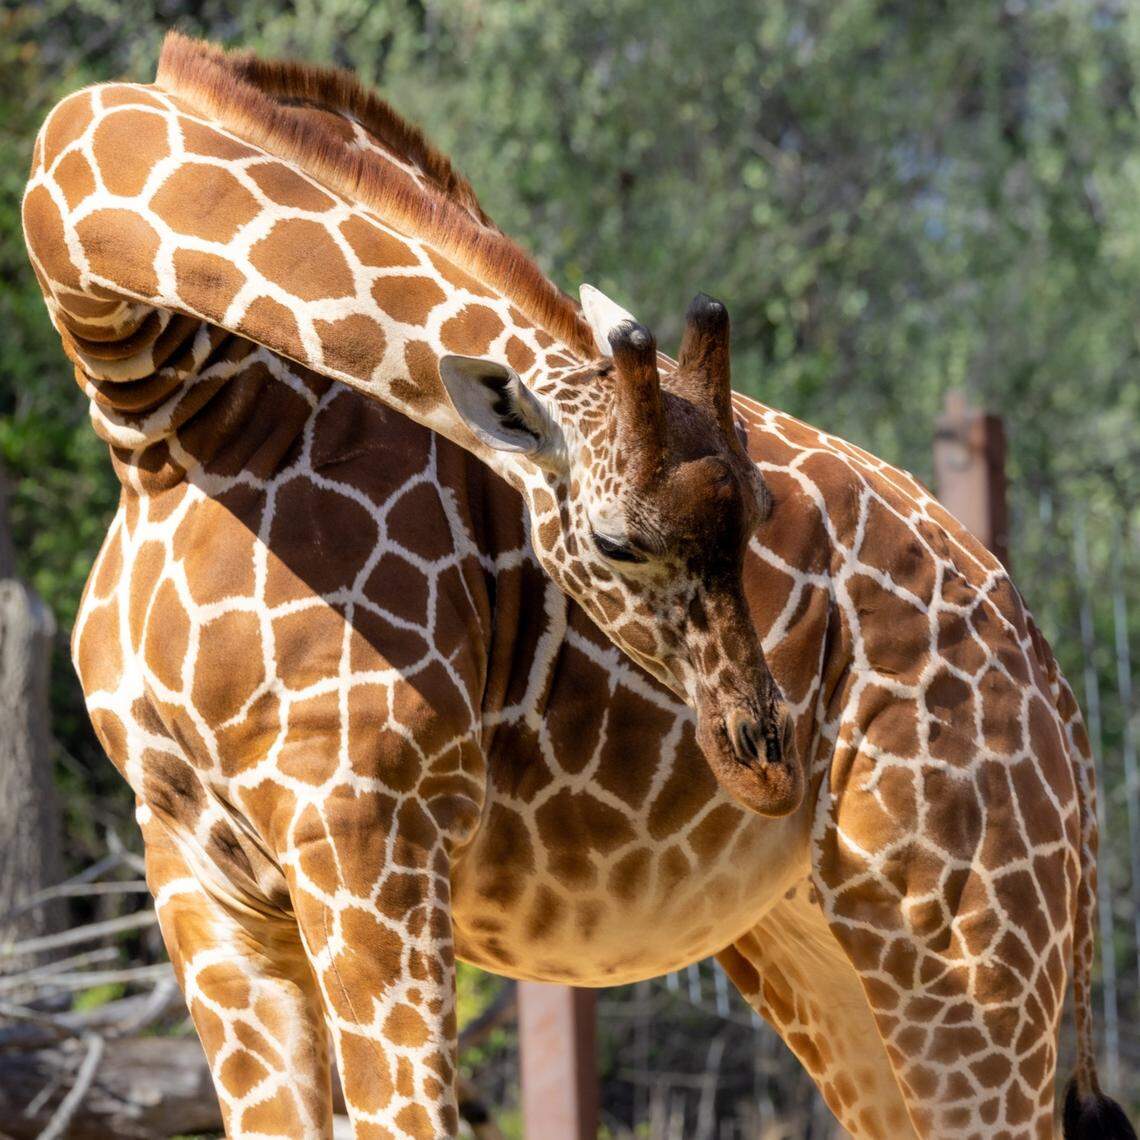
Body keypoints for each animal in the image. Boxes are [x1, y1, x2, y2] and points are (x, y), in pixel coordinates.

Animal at [20, 32, 1134, 1140]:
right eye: (615, 540)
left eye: (759, 513)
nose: (766, 757)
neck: (167, 413)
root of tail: (1057, 692)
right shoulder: (195, 865)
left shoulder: (369, 825)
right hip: (827, 945)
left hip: (967, 936)